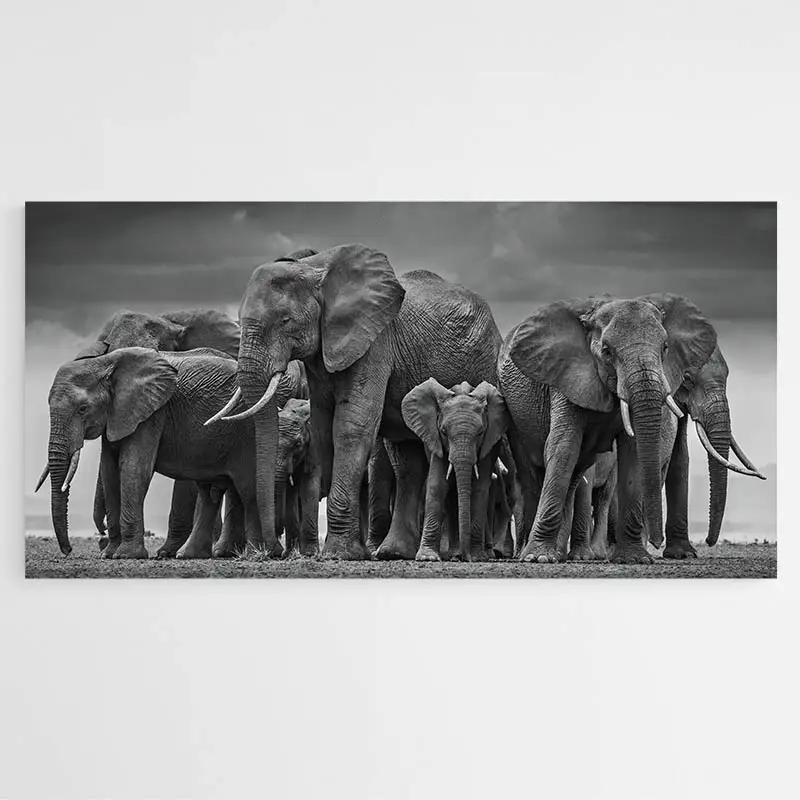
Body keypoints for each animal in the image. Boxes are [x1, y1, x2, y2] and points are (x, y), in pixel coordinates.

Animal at [43, 347, 261, 559]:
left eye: (82, 409)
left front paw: (126, 555)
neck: (104, 362)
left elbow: (133, 469)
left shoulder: (151, 414)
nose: (68, 550)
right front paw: (108, 554)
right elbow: (109, 471)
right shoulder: (117, 415)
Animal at [275, 398, 320, 555]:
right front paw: (289, 555)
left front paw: (311, 554)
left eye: (298, 444)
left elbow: (309, 488)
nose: (278, 533)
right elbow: (290, 495)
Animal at [401, 378, 508, 561]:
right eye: (444, 431)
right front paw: (428, 558)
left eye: (480, 432)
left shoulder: (487, 446)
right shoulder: (436, 441)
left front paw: (477, 558)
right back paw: (454, 553)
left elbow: (479, 489)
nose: (466, 557)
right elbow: (437, 486)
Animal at [500, 293, 718, 564]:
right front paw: (537, 558)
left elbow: (633, 453)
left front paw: (635, 559)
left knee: (576, 475)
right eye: (606, 351)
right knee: (532, 473)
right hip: (514, 414)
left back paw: (559, 553)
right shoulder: (565, 376)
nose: (657, 543)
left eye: (665, 348)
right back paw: (529, 553)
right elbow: (563, 447)